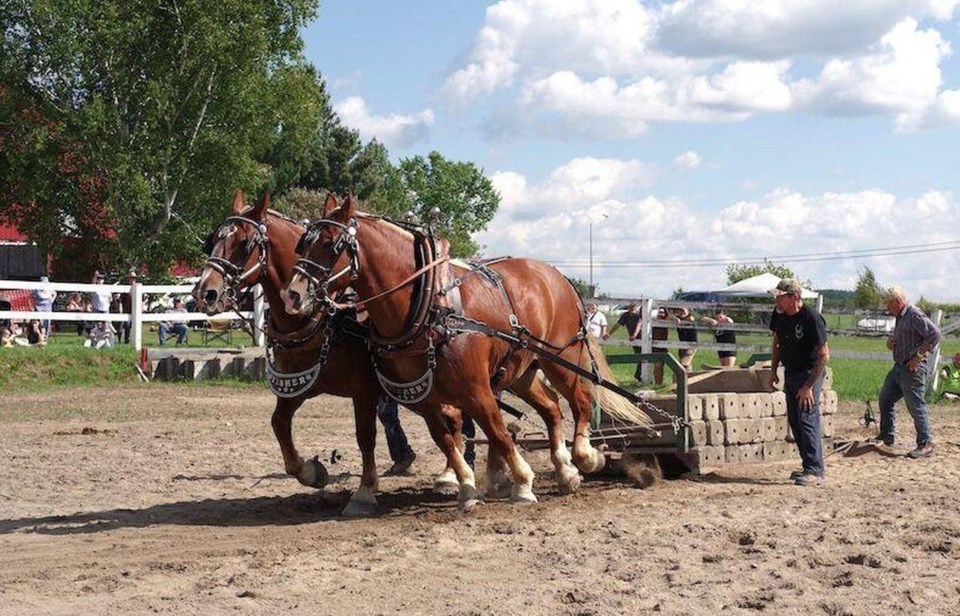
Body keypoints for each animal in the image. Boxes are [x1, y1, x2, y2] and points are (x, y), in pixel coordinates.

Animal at [284, 195, 644, 508]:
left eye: (332, 244)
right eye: (302, 243)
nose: (293, 295)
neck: (429, 305)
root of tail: (559, 276)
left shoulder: (477, 390)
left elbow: (498, 432)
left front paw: (522, 483)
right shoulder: (424, 397)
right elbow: (446, 439)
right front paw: (468, 488)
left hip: (562, 359)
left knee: (579, 400)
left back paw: (586, 456)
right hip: (521, 372)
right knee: (553, 408)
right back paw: (565, 471)